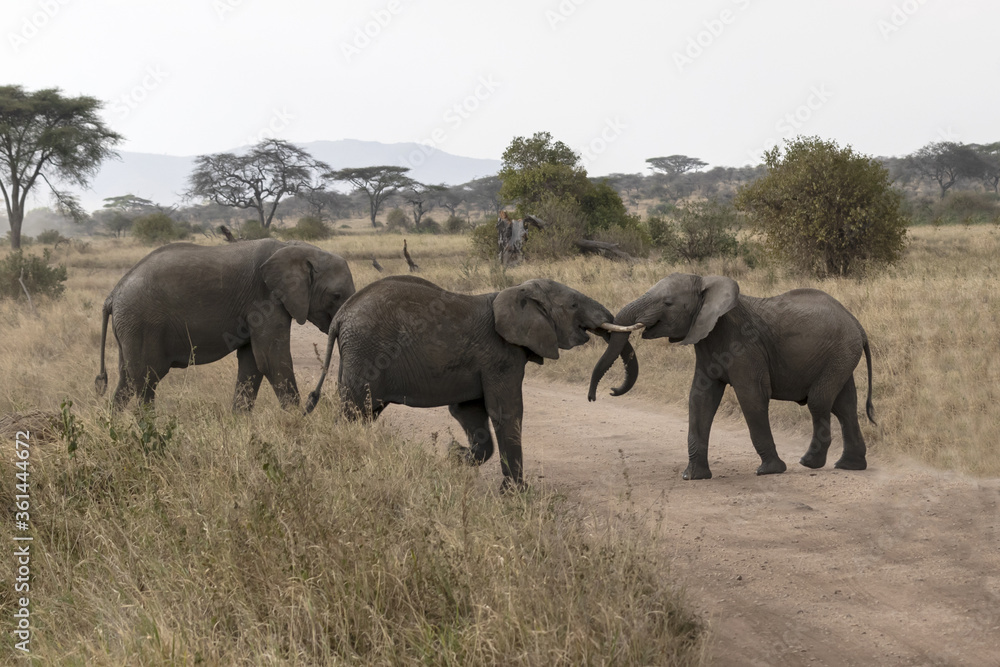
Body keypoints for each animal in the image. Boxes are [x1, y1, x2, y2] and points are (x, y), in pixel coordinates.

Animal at [94, 237, 358, 410]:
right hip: (143, 324)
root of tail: (112, 295)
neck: (296, 248)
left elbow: (253, 364)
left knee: (126, 380)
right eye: (336, 296)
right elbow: (271, 361)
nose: (312, 403)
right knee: (146, 380)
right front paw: (297, 423)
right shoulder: (265, 299)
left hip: (130, 326)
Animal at [302, 276, 632, 490]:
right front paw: (517, 495)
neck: (512, 293)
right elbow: (507, 411)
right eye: (574, 305)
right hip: (365, 352)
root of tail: (340, 316)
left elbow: (468, 411)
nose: (600, 395)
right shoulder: (500, 355)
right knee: (354, 410)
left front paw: (453, 455)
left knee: (365, 411)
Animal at [588, 272, 872, 480]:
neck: (707, 285)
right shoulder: (706, 341)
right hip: (840, 356)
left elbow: (752, 398)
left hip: (839, 353)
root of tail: (858, 325)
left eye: (667, 303)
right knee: (845, 405)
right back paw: (850, 465)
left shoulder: (744, 345)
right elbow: (700, 398)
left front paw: (769, 471)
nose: (604, 393)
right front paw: (693, 477)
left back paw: (810, 462)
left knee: (819, 402)